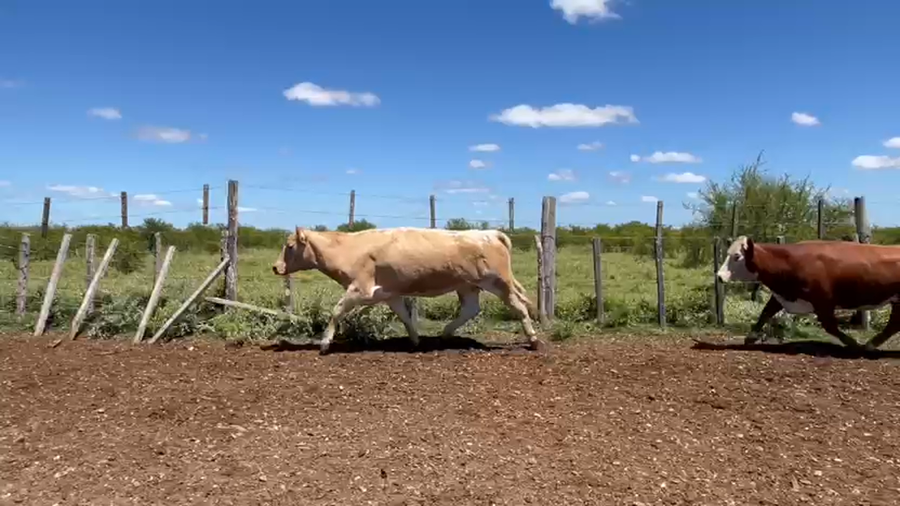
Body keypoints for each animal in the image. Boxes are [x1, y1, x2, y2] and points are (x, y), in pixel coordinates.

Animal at [272, 226, 541, 354]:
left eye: (290, 245)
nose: (275, 267)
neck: (348, 248)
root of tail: (491, 233)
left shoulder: (360, 289)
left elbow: (336, 311)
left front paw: (325, 343)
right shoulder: (390, 294)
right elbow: (404, 316)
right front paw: (415, 340)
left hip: (498, 283)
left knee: (518, 306)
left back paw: (533, 339)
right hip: (467, 286)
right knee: (471, 309)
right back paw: (445, 333)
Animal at [716, 235, 900, 352]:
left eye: (737, 256)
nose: (719, 276)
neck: (789, 261)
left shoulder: (823, 302)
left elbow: (831, 327)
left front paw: (853, 344)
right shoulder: (782, 296)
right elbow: (765, 313)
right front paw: (750, 337)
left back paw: (869, 345)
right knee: (893, 325)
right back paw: (871, 345)